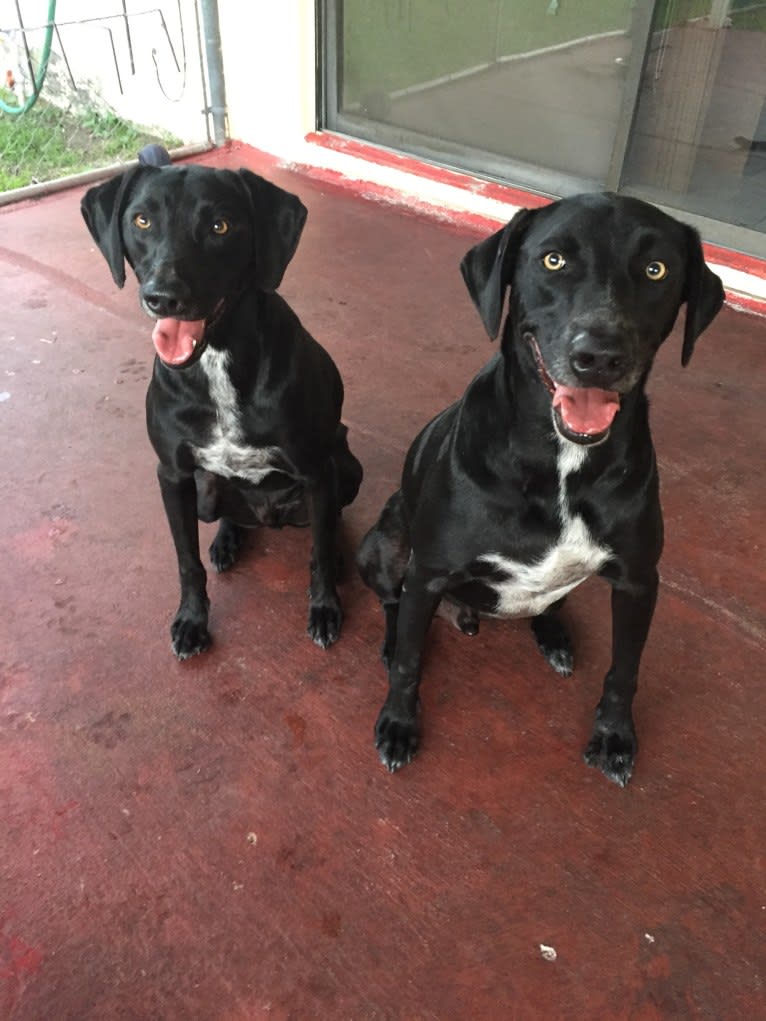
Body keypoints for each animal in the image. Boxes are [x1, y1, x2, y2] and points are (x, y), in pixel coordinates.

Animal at [82, 149, 363, 661]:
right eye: (142, 220)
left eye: (220, 226)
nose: (162, 297)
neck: (216, 360)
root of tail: (269, 516)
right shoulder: (172, 475)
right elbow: (186, 560)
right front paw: (192, 620)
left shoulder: (316, 471)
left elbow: (317, 553)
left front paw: (325, 607)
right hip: (205, 490)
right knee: (229, 516)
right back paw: (227, 540)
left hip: (346, 468)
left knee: (329, 523)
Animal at [359, 191, 727, 784]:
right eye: (553, 260)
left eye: (656, 270)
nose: (599, 356)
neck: (562, 466)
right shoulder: (430, 569)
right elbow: (412, 663)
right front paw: (398, 723)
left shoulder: (639, 582)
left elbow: (624, 670)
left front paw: (615, 737)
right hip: (387, 544)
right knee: (396, 604)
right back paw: (395, 641)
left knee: (549, 604)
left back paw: (553, 635)